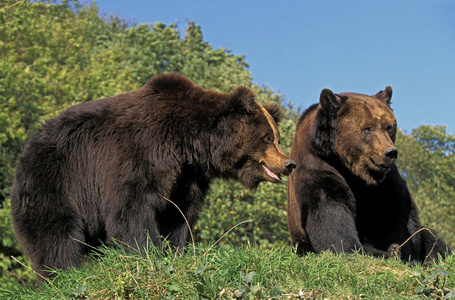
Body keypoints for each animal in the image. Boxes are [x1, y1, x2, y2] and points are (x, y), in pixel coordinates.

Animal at [10, 71, 298, 278]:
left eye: (277, 138)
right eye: (268, 137)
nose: (289, 163)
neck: (186, 144)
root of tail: (25, 151)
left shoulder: (186, 177)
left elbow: (178, 215)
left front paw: (175, 250)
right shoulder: (139, 153)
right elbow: (132, 208)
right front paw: (148, 252)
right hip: (57, 181)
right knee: (57, 234)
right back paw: (61, 275)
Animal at [288, 86, 452, 262]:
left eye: (389, 127)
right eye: (368, 128)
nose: (390, 153)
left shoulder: (385, 181)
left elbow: (396, 216)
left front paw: (403, 251)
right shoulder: (318, 168)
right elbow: (334, 225)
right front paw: (390, 251)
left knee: (431, 237)